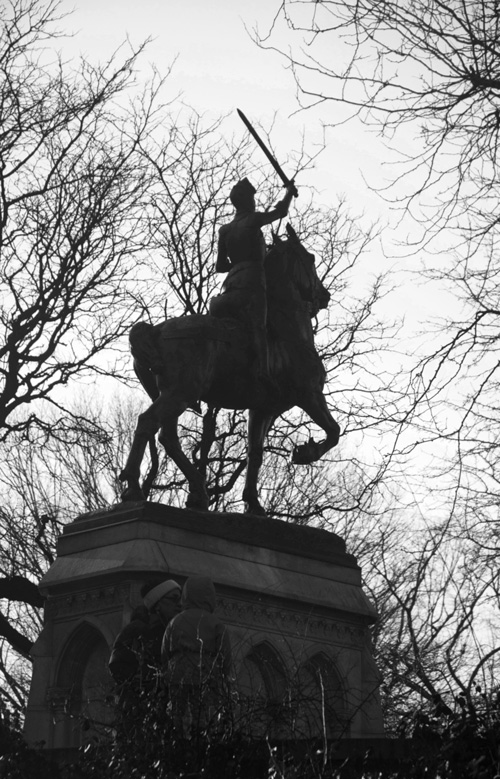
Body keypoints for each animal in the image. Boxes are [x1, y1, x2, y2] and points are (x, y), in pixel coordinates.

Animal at [120, 224, 340, 516]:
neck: (288, 335)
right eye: (310, 258)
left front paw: (253, 503)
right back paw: (134, 487)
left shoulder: (263, 408)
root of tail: (155, 331)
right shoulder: (310, 396)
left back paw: (198, 493)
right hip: (181, 393)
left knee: (168, 438)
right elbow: (334, 431)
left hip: (171, 395)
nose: (323, 296)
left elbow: (255, 453)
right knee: (148, 423)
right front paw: (305, 453)